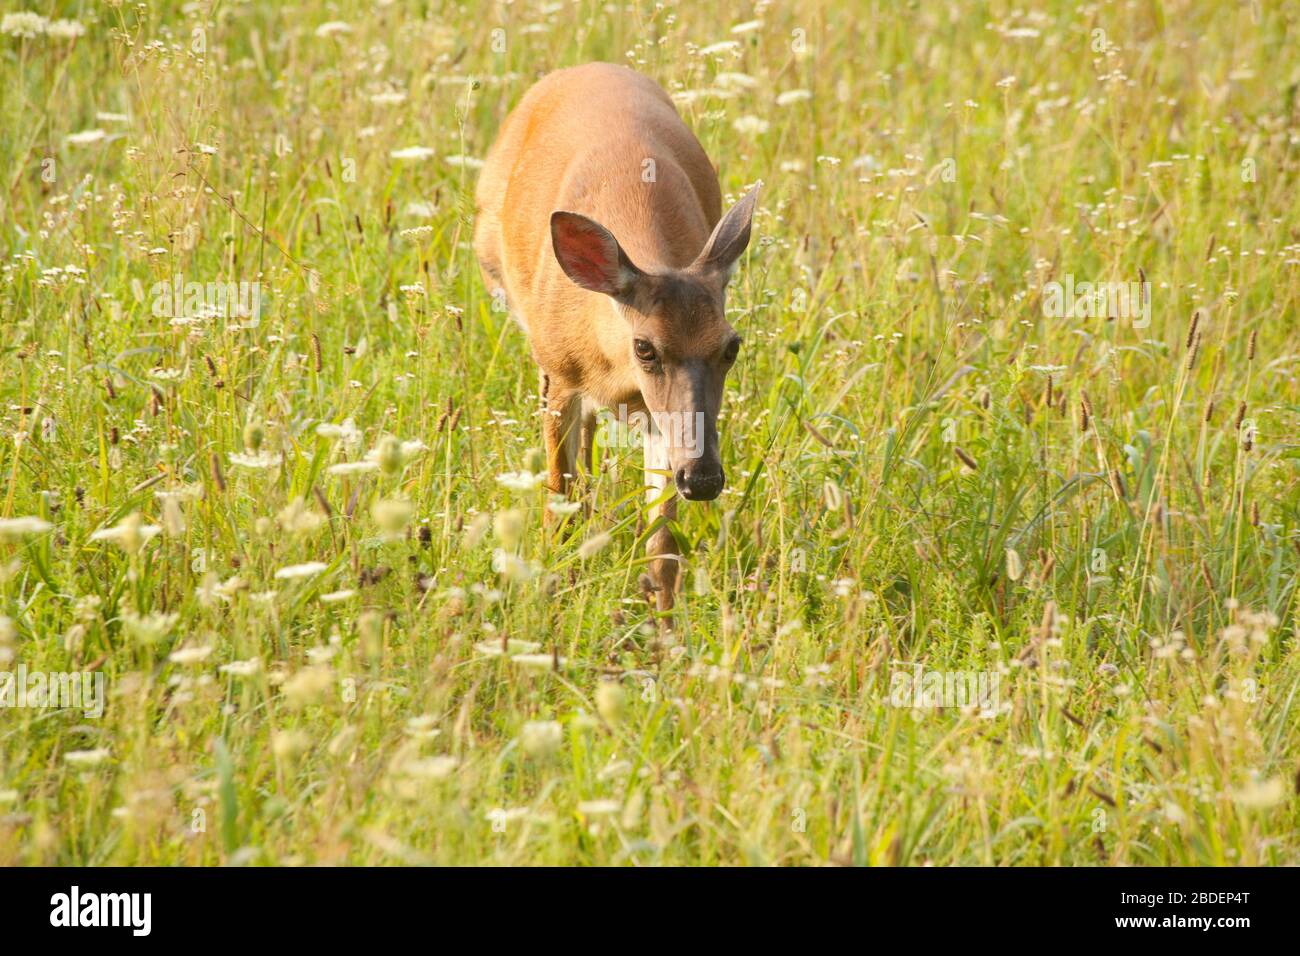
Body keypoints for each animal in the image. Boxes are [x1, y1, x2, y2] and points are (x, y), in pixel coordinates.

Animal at [473, 62, 758, 614]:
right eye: (644, 347)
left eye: (732, 346)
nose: (704, 478)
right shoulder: (558, 373)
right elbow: (556, 501)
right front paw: (553, 596)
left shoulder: (657, 413)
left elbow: (663, 544)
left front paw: (665, 627)